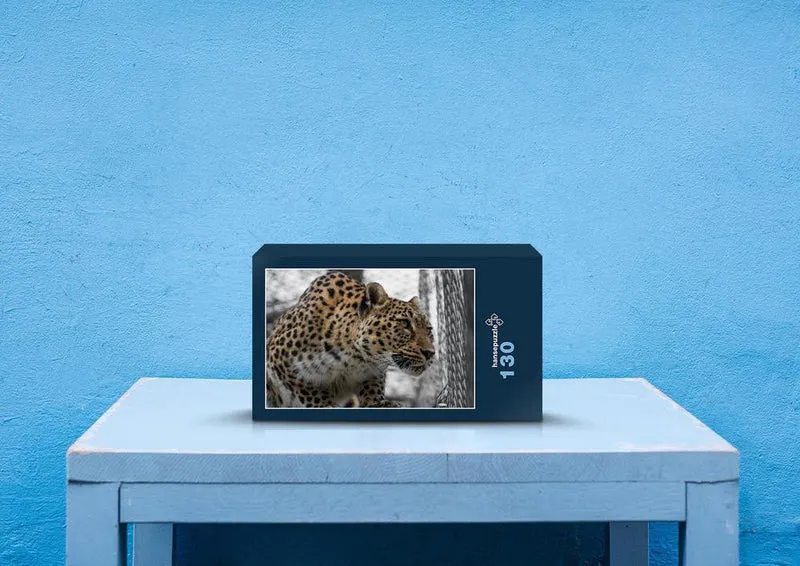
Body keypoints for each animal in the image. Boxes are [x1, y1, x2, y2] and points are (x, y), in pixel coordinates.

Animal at [266, 271, 436, 408]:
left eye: (429, 330)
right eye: (405, 323)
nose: (430, 353)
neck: (354, 358)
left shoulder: (373, 371)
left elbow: (372, 387)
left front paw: (377, 403)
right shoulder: (279, 358)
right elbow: (309, 391)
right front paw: (325, 405)